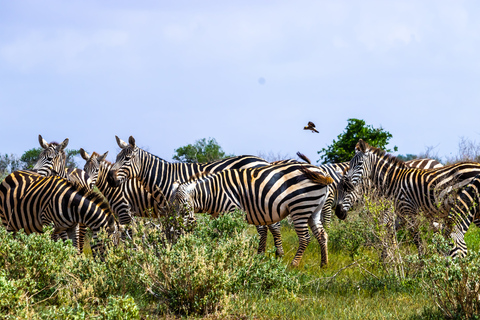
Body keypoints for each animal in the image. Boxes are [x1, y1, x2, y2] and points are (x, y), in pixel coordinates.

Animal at [104, 136, 284, 255]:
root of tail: (264, 161)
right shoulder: (168, 212)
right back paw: (261, 256)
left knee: (273, 227)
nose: (110, 179)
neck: (164, 178)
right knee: (264, 228)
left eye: (127, 159)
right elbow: (169, 234)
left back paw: (277, 257)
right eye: (116, 157)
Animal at [172, 164, 334, 266]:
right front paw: (216, 255)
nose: (177, 231)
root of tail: (322, 173)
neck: (212, 193)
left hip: (300, 207)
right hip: (314, 209)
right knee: (322, 235)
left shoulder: (232, 212)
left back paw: (294, 264)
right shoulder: (217, 216)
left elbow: (232, 237)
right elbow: (217, 236)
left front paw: (233, 257)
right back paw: (324, 264)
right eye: (174, 206)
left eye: (184, 207)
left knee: (305, 238)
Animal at [336, 140, 480, 258]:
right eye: (350, 164)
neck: (393, 181)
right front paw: (388, 261)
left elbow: (417, 241)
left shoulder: (407, 212)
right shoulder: (401, 215)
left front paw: (421, 266)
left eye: (359, 164)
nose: (338, 212)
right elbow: (389, 235)